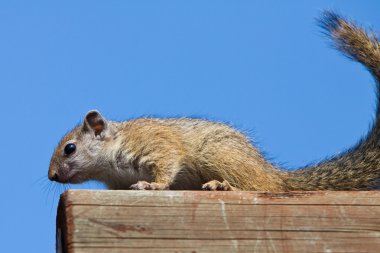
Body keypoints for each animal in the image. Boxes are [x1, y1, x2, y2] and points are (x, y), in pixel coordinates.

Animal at [48, 10, 380, 191]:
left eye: (70, 148)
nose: (52, 176)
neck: (112, 157)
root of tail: (274, 173)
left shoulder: (156, 144)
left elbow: (167, 165)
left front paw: (153, 185)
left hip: (220, 156)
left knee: (261, 187)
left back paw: (225, 185)